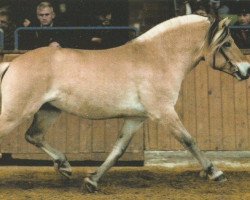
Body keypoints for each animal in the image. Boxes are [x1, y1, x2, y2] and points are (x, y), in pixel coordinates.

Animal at [0, 14, 250, 192]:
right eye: (228, 43)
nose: (245, 70)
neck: (158, 58)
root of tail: (12, 64)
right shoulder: (163, 112)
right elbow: (189, 140)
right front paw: (216, 173)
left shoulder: (135, 118)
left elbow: (118, 150)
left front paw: (92, 181)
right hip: (16, 113)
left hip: (48, 111)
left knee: (34, 136)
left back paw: (65, 165)